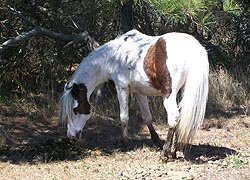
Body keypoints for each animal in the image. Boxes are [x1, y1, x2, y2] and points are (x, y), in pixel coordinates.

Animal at [59, 29, 209, 159]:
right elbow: (147, 117)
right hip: (183, 92)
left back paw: (165, 153)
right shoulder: (139, 92)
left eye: (75, 110)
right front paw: (156, 142)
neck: (113, 56)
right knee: (180, 117)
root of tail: (193, 47)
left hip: (169, 95)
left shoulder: (122, 88)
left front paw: (125, 143)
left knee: (174, 117)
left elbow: (124, 117)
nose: (71, 137)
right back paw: (172, 151)